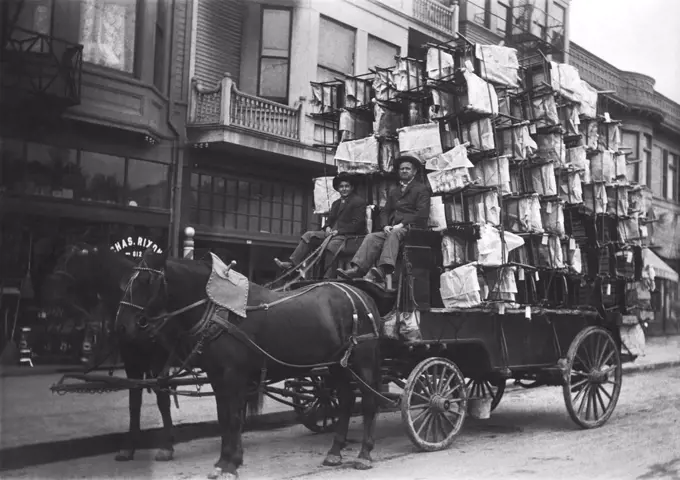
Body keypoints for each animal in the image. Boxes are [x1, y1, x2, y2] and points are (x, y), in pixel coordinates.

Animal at [41, 244, 177, 462]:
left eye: (65, 261)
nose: (46, 292)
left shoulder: (158, 358)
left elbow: (162, 399)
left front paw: (166, 446)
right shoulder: (131, 358)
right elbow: (134, 401)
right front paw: (129, 446)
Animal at [114, 251, 386, 480]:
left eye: (145, 281)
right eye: (127, 282)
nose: (123, 326)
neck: (220, 310)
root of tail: (364, 296)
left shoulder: (234, 375)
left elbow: (234, 418)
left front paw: (231, 464)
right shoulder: (217, 376)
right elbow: (223, 417)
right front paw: (223, 461)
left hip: (362, 362)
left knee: (369, 402)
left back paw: (364, 454)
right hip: (337, 365)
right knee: (347, 399)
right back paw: (335, 451)